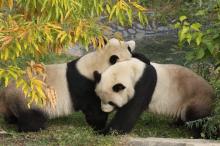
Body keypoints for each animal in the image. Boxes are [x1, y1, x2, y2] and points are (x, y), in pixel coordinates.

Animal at [0, 37, 137, 132]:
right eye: (128, 49)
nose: (133, 42)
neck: (98, 62)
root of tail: (5, 92)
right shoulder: (87, 85)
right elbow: (94, 108)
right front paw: (99, 126)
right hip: (29, 98)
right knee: (32, 117)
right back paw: (34, 127)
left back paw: (12, 120)